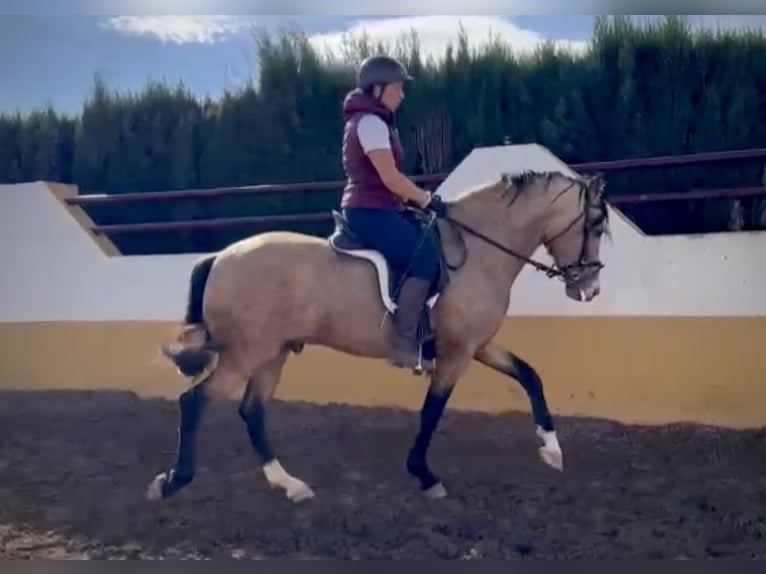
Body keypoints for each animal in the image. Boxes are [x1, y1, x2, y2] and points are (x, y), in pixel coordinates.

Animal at [147, 169, 608, 506]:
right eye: (596, 224)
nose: (589, 289)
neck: (477, 251)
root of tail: (220, 256)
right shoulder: (456, 353)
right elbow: (432, 412)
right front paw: (425, 476)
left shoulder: (475, 345)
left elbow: (529, 374)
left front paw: (552, 449)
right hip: (247, 352)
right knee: (195, 401)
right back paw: (172, 482)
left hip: (272, 353)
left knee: (251, 411)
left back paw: (290, 484)